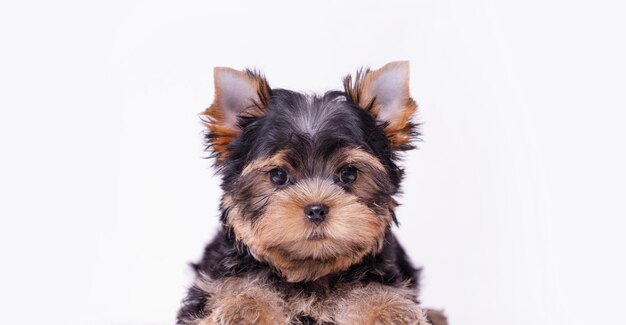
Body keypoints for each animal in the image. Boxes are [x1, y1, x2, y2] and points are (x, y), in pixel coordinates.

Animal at [178, 61, 446, 324]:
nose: (316, 210)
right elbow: (242, 287)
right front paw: (245, 309)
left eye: (349, 173)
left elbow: (375, 291)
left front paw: (387, 311)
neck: (311, 273)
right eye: (278, 175)